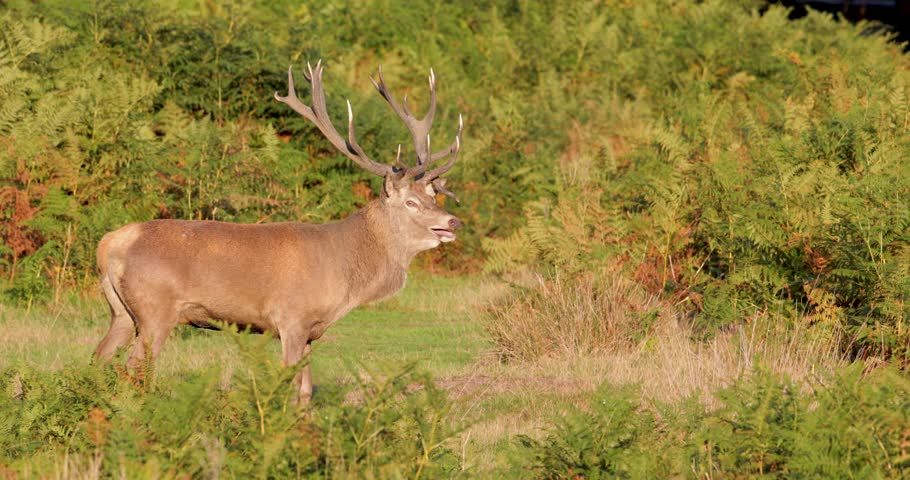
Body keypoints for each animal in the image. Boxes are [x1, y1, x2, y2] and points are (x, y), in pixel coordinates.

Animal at [92, 60, 464, 403]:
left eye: (433, 196)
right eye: (411, 202)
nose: (453, 222)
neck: (344, 269)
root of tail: (109, 244)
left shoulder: (312, 331)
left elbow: (307, 391)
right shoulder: (291, 319)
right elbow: (290, 388)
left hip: (121, 312)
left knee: (98, 358)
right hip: (156, 309)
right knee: (133, 370)